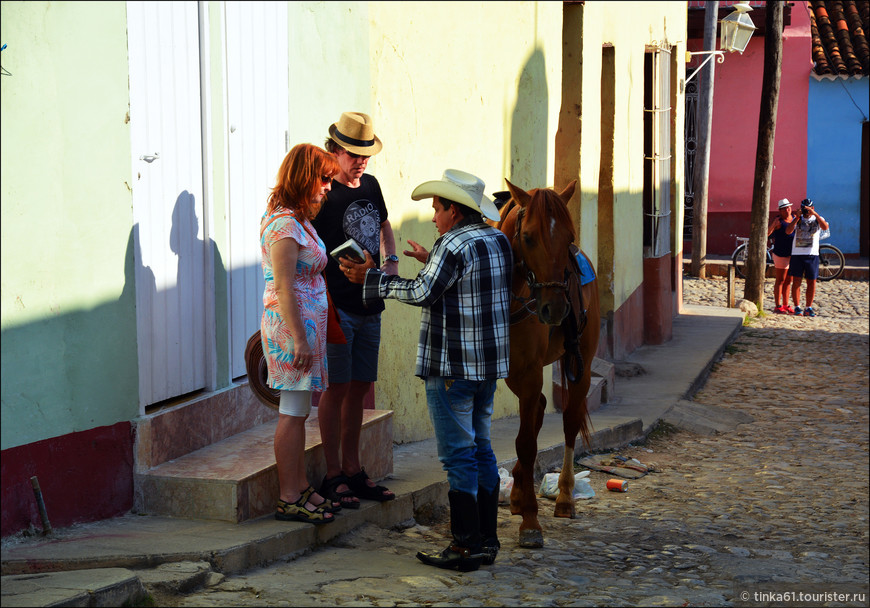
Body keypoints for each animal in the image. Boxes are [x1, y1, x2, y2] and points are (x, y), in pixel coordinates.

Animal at [498, 179, 600, 548]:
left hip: (580, 363)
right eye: (527, 237)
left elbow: (527, 444)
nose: (555, 309)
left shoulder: (529, 373)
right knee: (541, 407)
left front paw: (531, 521)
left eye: (568, 237)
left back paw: (565, 498)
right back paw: (517, 490)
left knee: (569, 420)